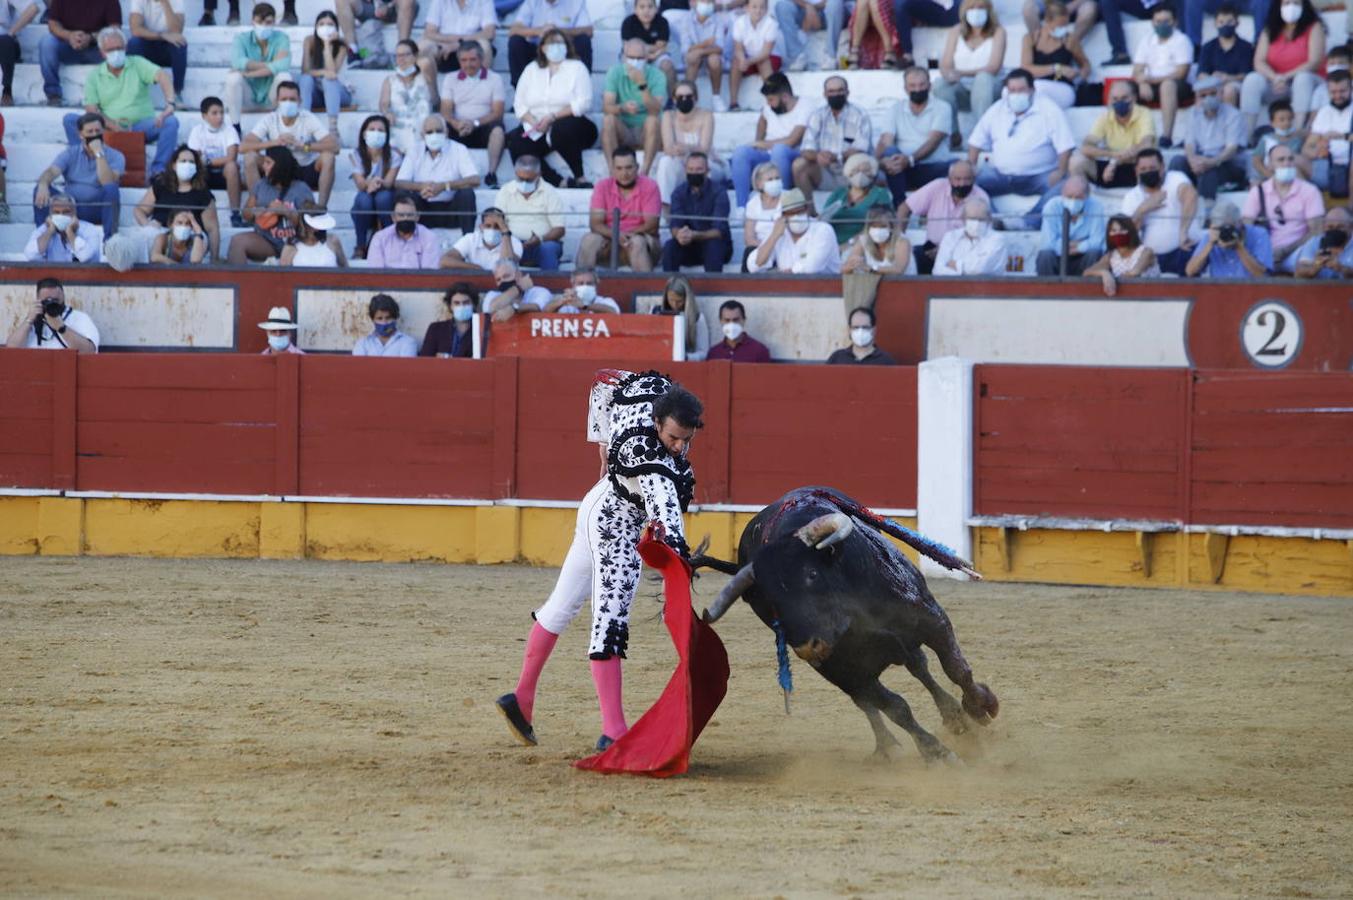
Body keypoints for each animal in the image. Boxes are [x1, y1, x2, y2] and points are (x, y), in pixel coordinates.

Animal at [692, 487, 1001, 763]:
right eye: (771, 601)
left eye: (812, 574)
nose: (808, 648)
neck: (854, 616)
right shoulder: (843, 670)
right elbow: (896, 708)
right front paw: (936, 753)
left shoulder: (931, 619)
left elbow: (956, 668)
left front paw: (981, 706)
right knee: (870, 701)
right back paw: (888, 747)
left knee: (920, 668)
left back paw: (955, 717)